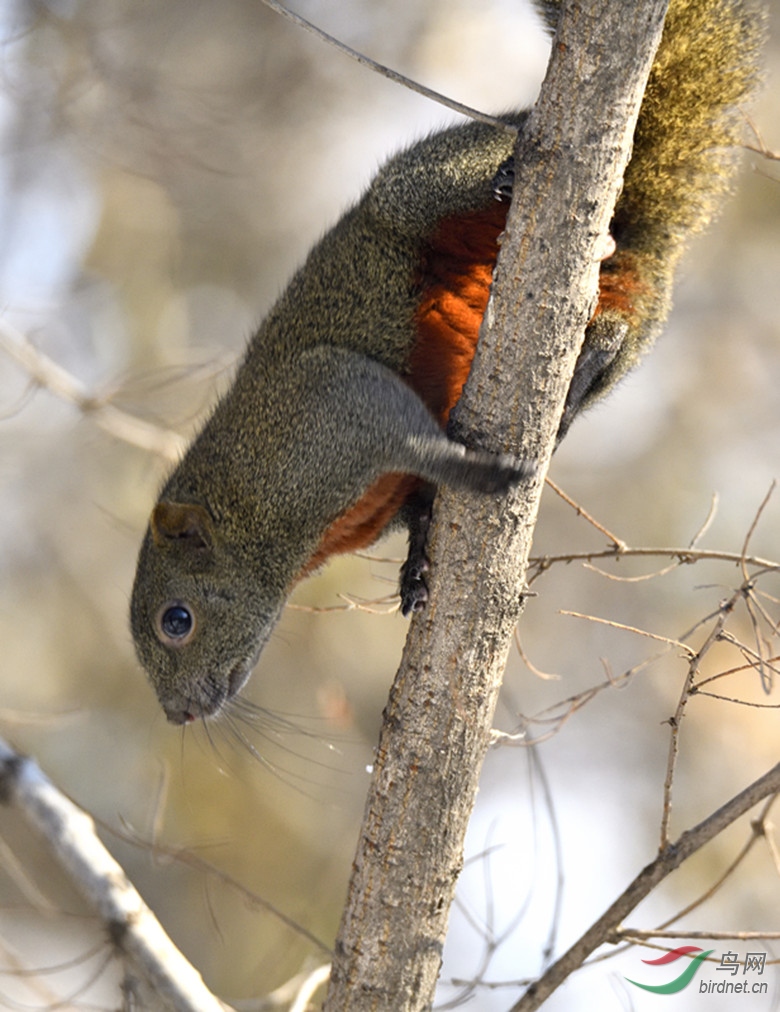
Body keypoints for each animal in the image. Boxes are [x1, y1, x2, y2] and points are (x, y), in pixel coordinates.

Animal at [131, 0, 764, 728]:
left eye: (176, 620)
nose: (178, 713)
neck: (249, 516)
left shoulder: (322, 410)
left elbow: (407, 432)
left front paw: (486, 476)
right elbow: (420, 503)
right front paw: (415, 565)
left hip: (418, 189)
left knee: (460, 182)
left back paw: (510, 183)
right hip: (635, 302)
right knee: (616, 332)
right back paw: (584, 368)